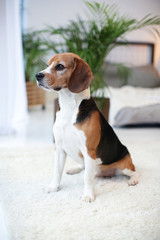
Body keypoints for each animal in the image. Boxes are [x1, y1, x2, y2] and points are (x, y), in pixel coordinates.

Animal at [35, 53, 138, 202]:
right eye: (47, 65)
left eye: (59, 66)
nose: (37, 75)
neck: (69, 107)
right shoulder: (59, 147)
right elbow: (57, 172)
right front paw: (54, 187)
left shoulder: (88, 150)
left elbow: (87, 178)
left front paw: (88, 195)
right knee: (83, 167)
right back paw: (75, 169)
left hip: (124, 165)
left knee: (134, 171)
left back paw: (133, 179)